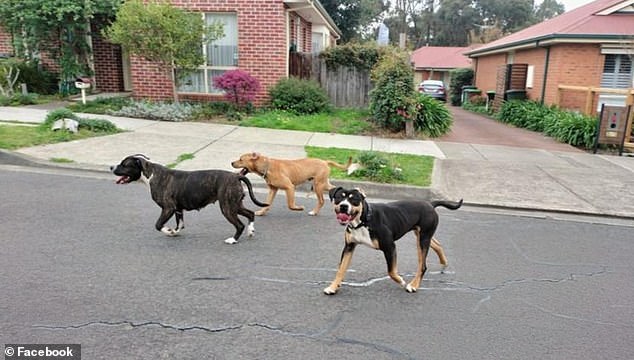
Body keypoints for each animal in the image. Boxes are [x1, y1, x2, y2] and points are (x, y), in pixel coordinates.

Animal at [110, 155, 266, 245]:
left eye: (124, 164)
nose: (111, 167)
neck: (151, 174)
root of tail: (236, 176)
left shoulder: (168, 208)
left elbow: (158, 225)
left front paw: (168, 231)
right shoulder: (177, 209)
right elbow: (180, 224)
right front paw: (174, 232)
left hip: (227, 207)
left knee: (239, 224)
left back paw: (233, 240)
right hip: (235, 204)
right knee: (250, 213)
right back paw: (251, 231)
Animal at [324, 187, 462, 294]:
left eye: (354, 200)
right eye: (338, 198)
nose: (343, 206)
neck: (363, 221)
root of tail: (430, 204)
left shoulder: (389, 247)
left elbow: (391, 271)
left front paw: (401, 281)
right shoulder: (349, 247)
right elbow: (341, 269)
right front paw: (333, 287)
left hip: (423, 239)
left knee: (422, 265)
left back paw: (413, 285)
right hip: (422, 235)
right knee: (438, 245)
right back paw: (443, 263)